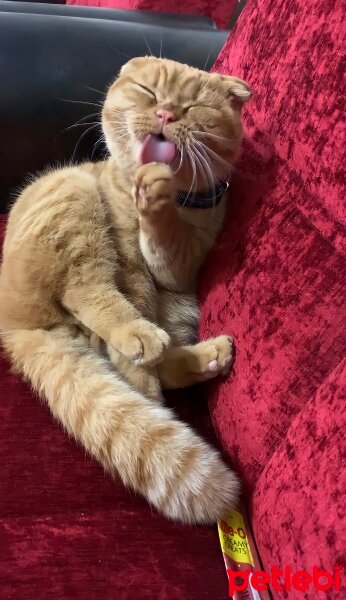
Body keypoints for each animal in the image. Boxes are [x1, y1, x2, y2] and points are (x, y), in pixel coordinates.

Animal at [0, 57, 251, 524]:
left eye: (192, 106)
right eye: (149, 93)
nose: (166, 115)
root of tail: (14, 328)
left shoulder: (180, 266)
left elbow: (165, 244)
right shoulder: (129, 263)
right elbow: (126, 297)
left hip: (179, 306)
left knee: (149, 355)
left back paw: (205, 359)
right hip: (73, 196)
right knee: (90, 295)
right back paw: (146, 356)